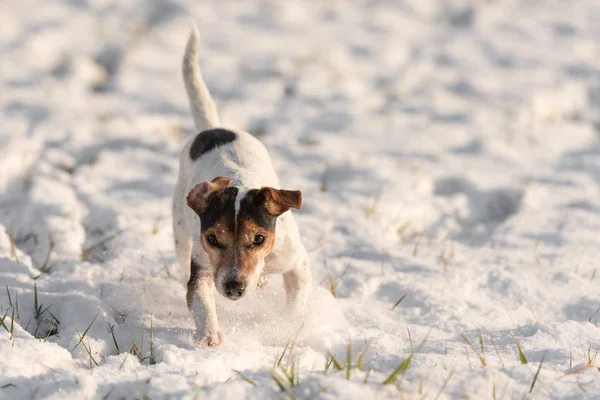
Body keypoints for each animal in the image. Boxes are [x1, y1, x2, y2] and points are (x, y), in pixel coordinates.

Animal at [171, 23, 312, 346]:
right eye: (213, 238)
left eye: (259, 239)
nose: (234, 287)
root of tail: (212, 128)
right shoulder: (202, 266)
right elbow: (200, 300)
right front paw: (209, 336)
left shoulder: (295, 260)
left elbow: (297, 301)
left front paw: (288, 326)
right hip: (181, 234)